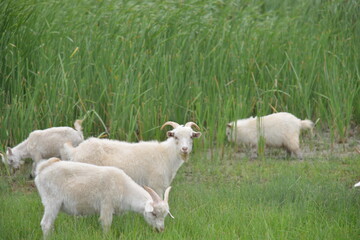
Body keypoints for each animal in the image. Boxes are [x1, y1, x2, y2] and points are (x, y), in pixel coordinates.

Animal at [34, 157, 173, 237]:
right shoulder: (107, 204)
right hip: (52, 200)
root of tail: (42, 168)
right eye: (153, 214)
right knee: (46, 224)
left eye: (165, 215)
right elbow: (106, 224)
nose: (161, 230)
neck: (125, 188)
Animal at [64, 121, 200, 198]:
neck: (166, 154)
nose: (184, 149)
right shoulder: (156, 184)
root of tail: (76, 150)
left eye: (191, 136)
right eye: (175, 136)